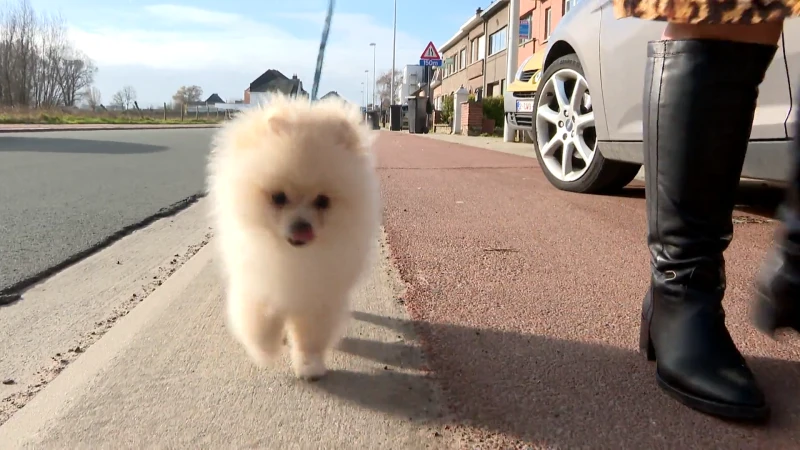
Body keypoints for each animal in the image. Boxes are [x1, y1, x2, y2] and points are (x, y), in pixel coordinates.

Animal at [206, 95, 382, 380]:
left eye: (323, 201)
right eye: (278, 197)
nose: (302, 226)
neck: (292, 256)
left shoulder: (317, 295)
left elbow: (310, 337)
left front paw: (309, 365)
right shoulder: (257, 282)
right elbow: (259, 322)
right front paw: (266, 350)